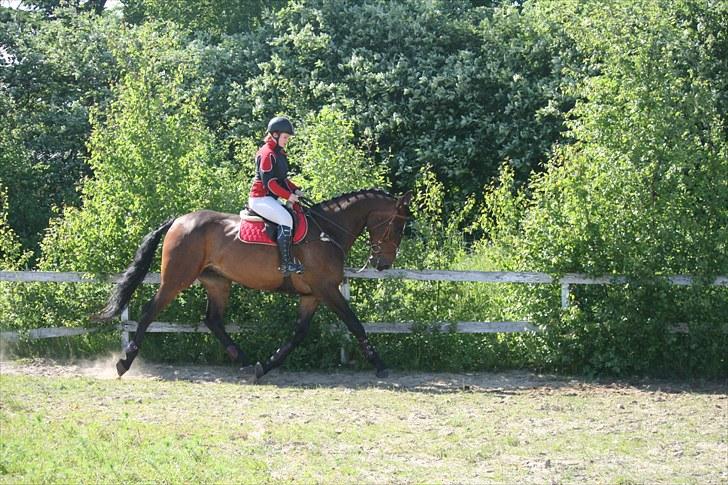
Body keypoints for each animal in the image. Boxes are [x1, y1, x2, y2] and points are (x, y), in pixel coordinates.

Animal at [92, 187, 410, 380]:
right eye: (397, 225)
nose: (383, 263)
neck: (326, 231)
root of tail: (178, 220)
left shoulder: (312, 295)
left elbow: (298, 334)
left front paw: (265, 365)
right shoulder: (327, 290)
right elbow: (355, 324)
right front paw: (380, 365)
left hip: (218, 283)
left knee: (213, 320)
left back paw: (244, 360)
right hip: (176, 279)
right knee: (150, 311)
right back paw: (124, 362)